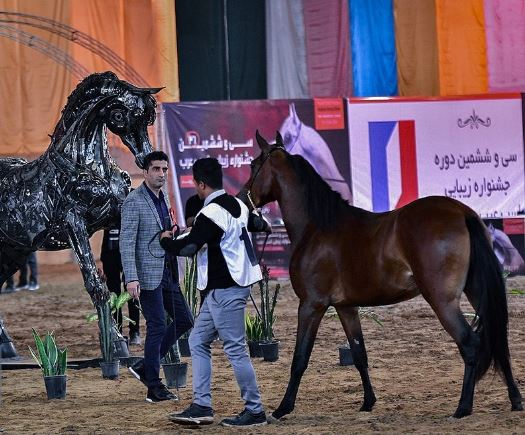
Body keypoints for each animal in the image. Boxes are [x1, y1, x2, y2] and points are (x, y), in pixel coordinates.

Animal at [239, 131, 520, 420]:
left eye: (252, 165)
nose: (240, 199)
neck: (316, 227)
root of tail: (462, 213)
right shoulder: (346, 307)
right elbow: (359, 354)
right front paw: (368, 402)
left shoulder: (310, 305)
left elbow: (300, 358)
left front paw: (283, 407)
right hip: (475, 292)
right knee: (498, 340)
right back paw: (515, 400)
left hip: (442, 300)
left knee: (470, 344)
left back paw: (463, 407)